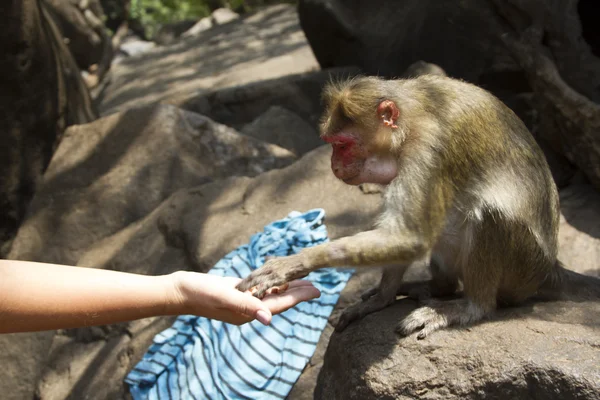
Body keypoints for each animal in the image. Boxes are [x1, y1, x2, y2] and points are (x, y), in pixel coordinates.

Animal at [237, 73, 600, 336]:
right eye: (331, 143)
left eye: (342, 144)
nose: (333, 165)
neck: (412, 114)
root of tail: (551, 267)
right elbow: (403, 236)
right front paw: (382, 298)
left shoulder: (428, 147)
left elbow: (410, 236)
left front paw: (294, 262)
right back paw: (438, 287)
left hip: (523, 269)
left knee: (488, 215)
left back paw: (470, 307)